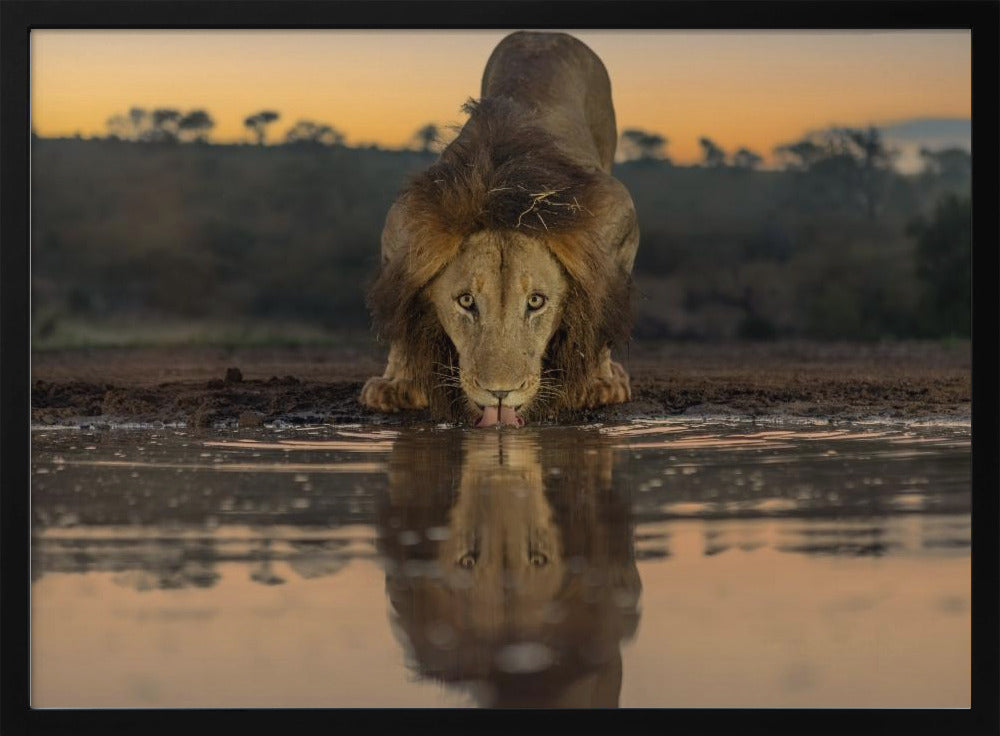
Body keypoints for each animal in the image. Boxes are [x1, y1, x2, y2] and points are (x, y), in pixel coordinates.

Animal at [361, 31, 639, 426]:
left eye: (536, 302)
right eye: (466, 301)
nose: (500, 394)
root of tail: (545, 35)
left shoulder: (618, 217)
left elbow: (603, 311)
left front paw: (597, 385)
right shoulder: (401, 230)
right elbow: (400, 316)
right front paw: (396, 386)